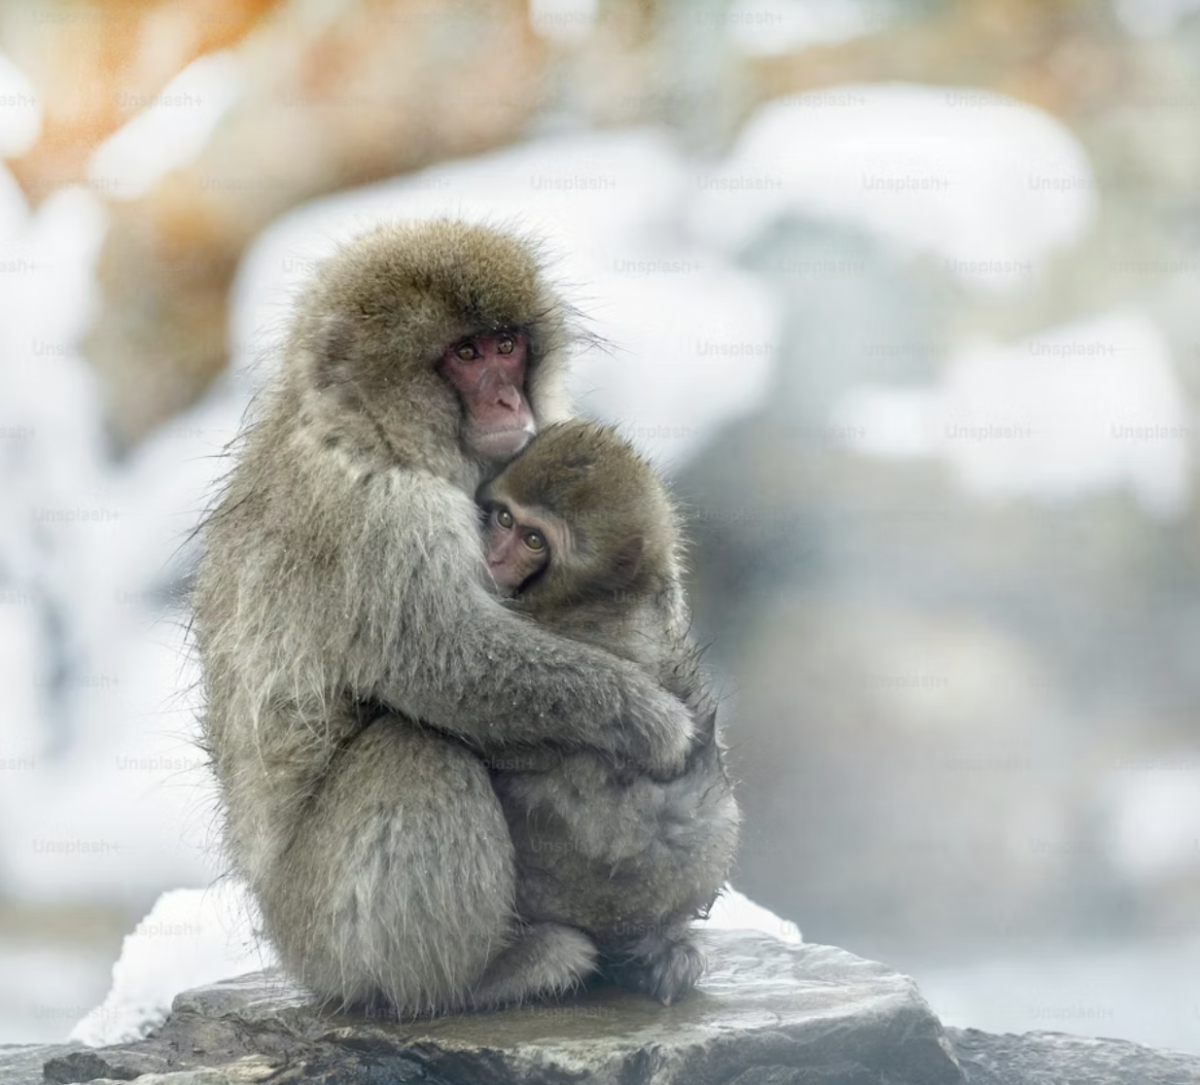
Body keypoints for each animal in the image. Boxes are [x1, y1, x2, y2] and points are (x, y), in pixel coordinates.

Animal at [192, 220, 698, 1018]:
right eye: (465, 356)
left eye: (505, 345)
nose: (507, 401)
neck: (375, 431)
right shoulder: (380, 514)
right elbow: (447, 661)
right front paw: (651, 719)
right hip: (321, 935)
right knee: (416, 747)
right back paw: (481, 977)